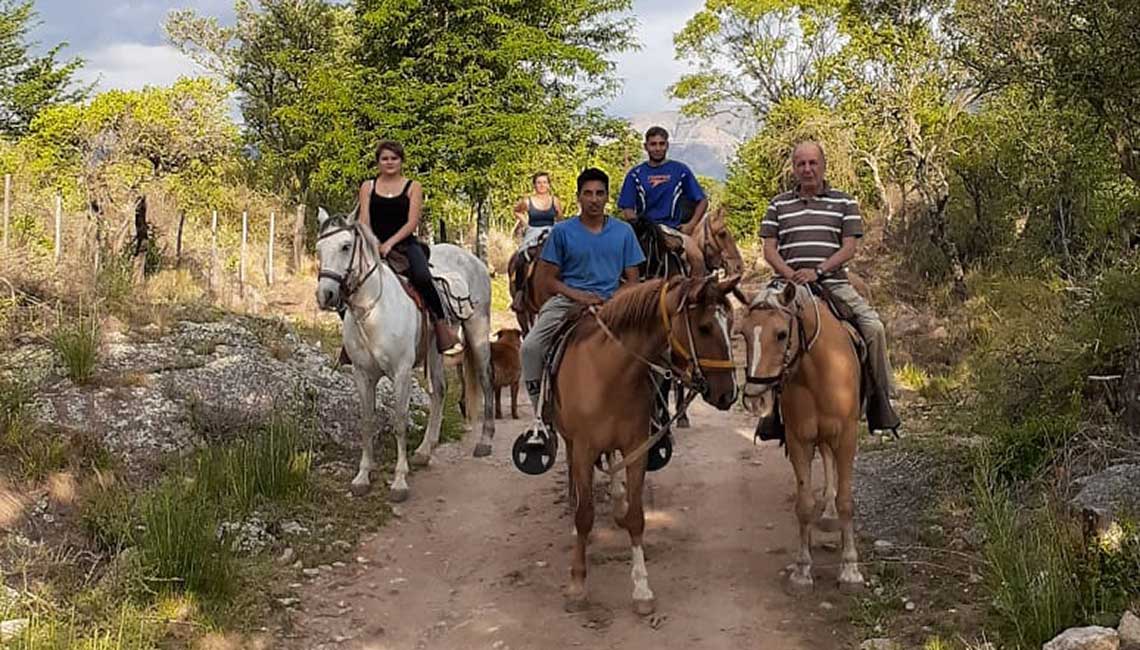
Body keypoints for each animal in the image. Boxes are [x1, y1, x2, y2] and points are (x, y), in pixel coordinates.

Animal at [314, 208, 496, 501]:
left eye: (345, 246)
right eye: (319, 249)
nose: (325, 295)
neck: (373, 311)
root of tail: (473, 259)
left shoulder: (401, 373)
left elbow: (399, 421)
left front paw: (399, 481)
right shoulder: (362, 375)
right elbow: (366, 421)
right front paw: (362, 476)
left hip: (477, 329)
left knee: (486, 379)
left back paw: (485, 441)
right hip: (435, 349)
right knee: (440, 390)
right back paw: (425, 449)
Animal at [550, 274, 741, 615]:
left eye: (730, 322)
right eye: (705, 327)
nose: (728, 394)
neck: (607, 372)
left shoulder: (636, 448)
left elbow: (637, 518)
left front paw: (641, 588)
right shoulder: (584, 449)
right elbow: (585, 516)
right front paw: (577, 585)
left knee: (612, 464)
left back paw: (617, 503)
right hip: (571, 441)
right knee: (574, 474)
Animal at [736, 281, 865, 594]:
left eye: (782, 334)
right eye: (743, 333)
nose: (755, 399)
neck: (817, 371)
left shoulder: (847, 436)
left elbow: (847, 501)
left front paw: (850, 570)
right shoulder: (798, 441)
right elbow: (804, 505)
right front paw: (802, 571)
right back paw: (827, 514)